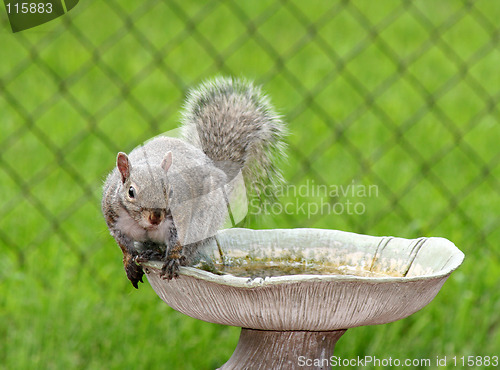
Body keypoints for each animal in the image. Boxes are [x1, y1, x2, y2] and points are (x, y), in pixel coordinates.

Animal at [101, 76, 288, 288]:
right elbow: (124, 245)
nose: (156, 217)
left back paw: (165, 255)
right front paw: (129, 263)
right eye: (131, 192)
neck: (144, 226)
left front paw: (173, 259)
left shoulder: (181, 217)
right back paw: (150, 251)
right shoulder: (114, 218)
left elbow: (178, 242)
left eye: (169, 190)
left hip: (203, 220)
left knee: (191, 249)